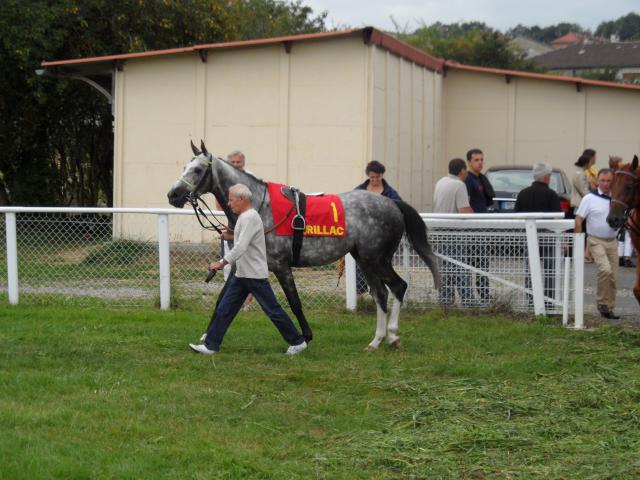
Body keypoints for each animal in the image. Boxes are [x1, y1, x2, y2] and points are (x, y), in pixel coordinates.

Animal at [166, 142, 440, 348]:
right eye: (184, 166)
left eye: (198, 169)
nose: (173, 194)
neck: (260, 207)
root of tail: (393, 204)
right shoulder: (242, 265)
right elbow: (222, 299)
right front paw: (206, 335)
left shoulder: (281, 266)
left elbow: (294, 301)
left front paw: (305, 336)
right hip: (364, 259)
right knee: (381, 293)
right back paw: (377, 340)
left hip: (376, 259)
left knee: (397, 286)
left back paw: (391, 336)